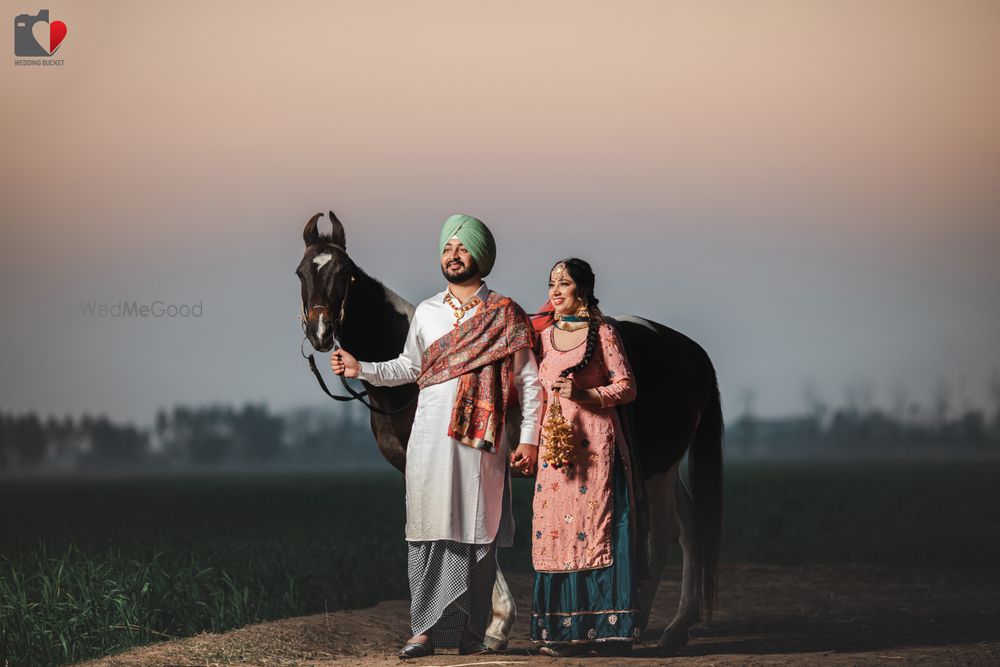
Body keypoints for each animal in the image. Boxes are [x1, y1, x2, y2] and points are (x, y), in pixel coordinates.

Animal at [292, 213, 724, 648]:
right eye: (301, 271)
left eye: (343, 273)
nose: (320, 331)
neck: (409, 377)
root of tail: (688, 349)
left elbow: (473, 531)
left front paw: (496, 625)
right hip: (660, 464)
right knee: (691, 531)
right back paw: (676, 625)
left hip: (657, 467)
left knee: (665, 534)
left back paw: (641, 625)